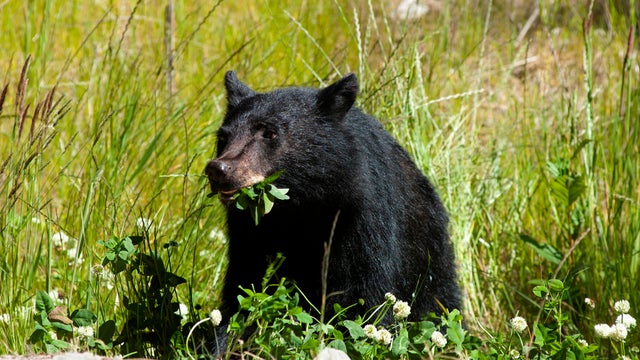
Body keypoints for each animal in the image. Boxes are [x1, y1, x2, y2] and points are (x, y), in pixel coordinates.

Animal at [205, 69, 460, 346]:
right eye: (223, 136)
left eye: (269, 133)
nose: (219, 169)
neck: (301, 208)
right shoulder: (248, 231)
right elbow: (243, 286)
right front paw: (223, 342)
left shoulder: (364, 222)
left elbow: (368, 295)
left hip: (431, 263)